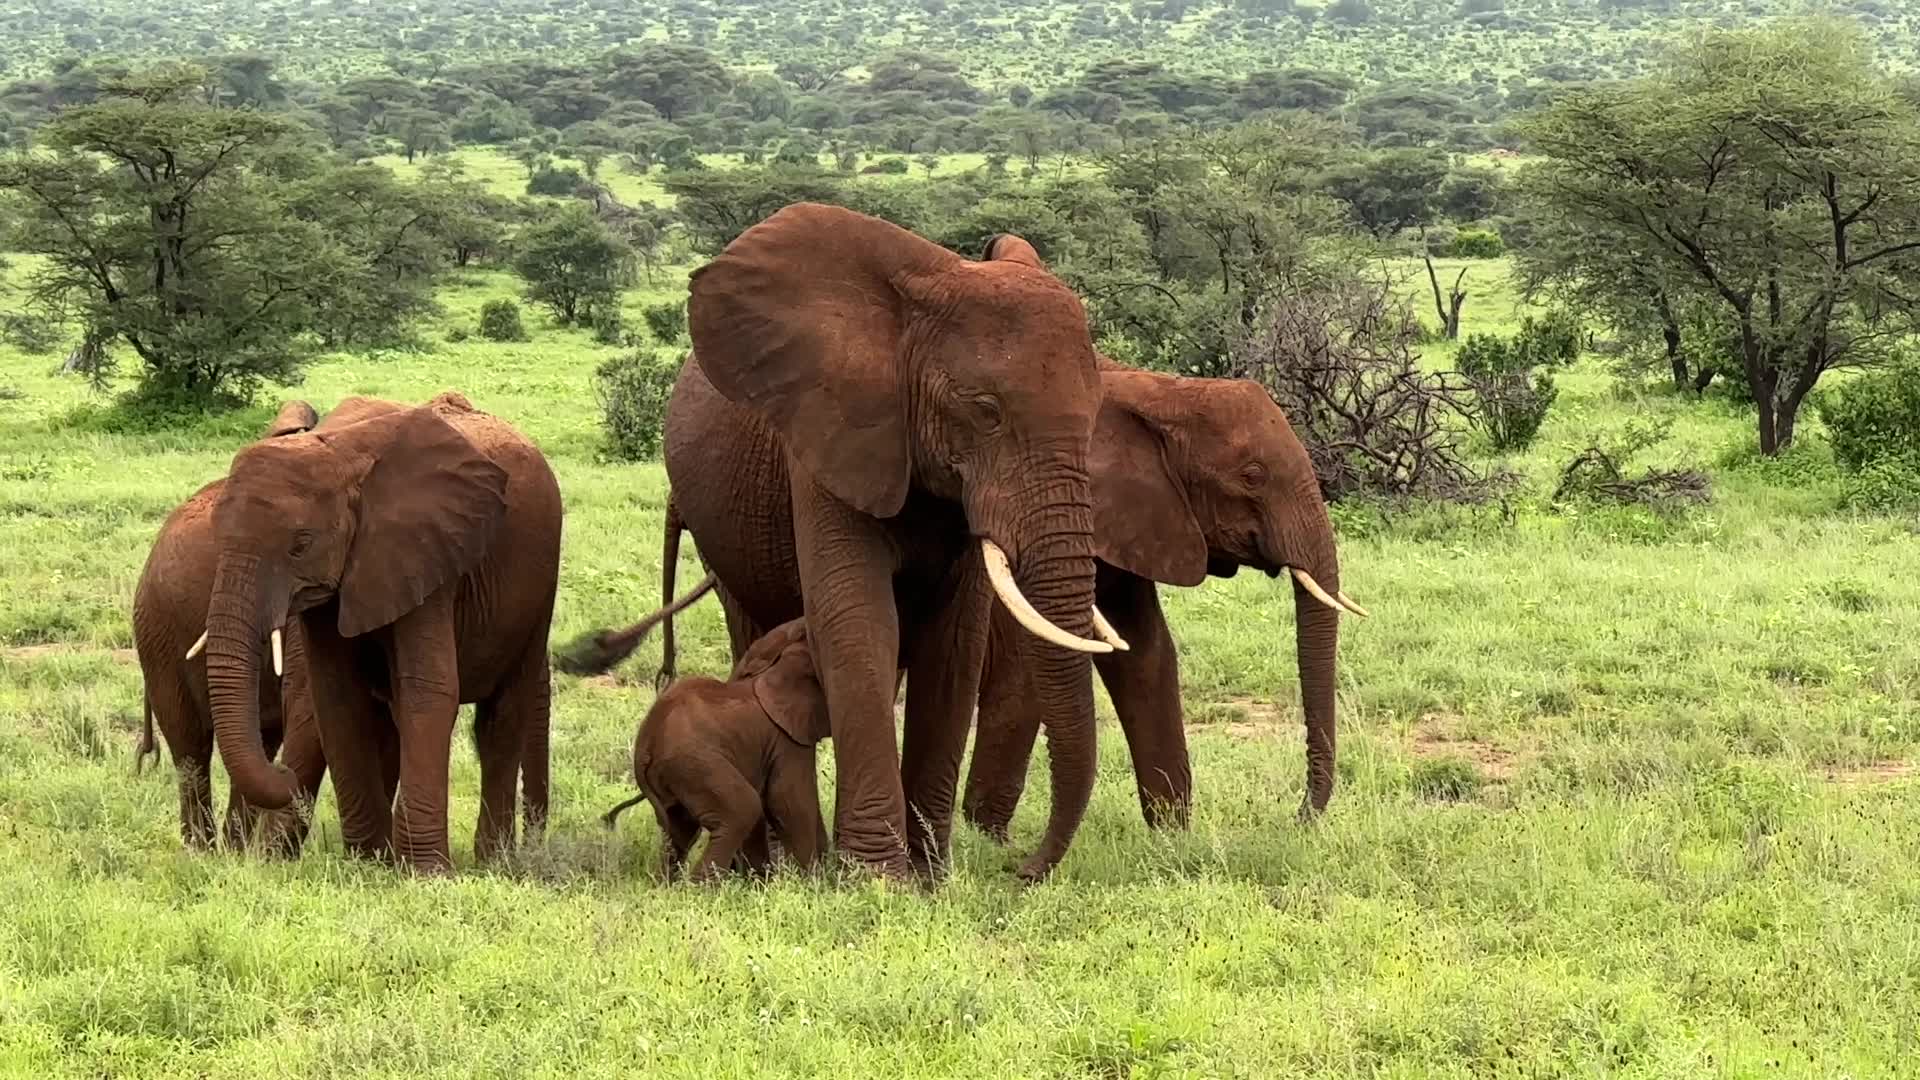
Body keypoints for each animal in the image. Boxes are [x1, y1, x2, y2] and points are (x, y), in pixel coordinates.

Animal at [200, 391, 562, 873]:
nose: (282, 773)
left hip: (536, 586)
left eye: (301, 544)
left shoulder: (427, 550)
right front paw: (368, 864)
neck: (338, 456)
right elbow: (335, 696)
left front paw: (426, 874)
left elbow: (426, 690)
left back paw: (494, 863)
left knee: (501, 720)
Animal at [601, 617, 830, 882]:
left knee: (680, 828)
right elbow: (789, 800)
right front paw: (812, 880)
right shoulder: (785, 739)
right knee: (742, 809)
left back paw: (667, 883)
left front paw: (764, 881)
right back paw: (701, 887)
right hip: (693, 764)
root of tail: (644, 748)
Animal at [962, 365, 1366, 839]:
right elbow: (1025, 669)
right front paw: (987, 841)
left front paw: (1172, 838)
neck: (1159, 392)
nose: (1295, 819)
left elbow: (1147, 654)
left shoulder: (1131, 523)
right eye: (1252, 476)